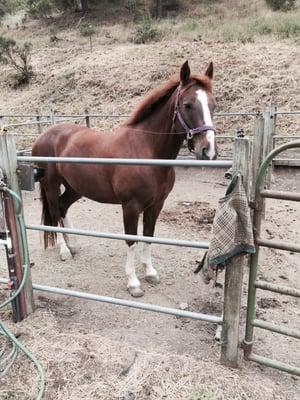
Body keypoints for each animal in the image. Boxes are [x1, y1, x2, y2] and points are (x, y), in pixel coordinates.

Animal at [32, 60, 217, 296]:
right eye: (187, 105)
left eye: (213, 105)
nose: (208, 151)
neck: (146, 151)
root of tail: (44, 135)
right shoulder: (131, 206)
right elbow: (131, 240)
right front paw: (133, 283)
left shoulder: (156, 205)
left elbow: (148, 236)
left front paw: (150, 272)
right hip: (51, 186)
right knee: (55, 212)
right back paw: (64, 251)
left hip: (75, 188)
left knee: (63, 207)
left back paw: (72, 243)